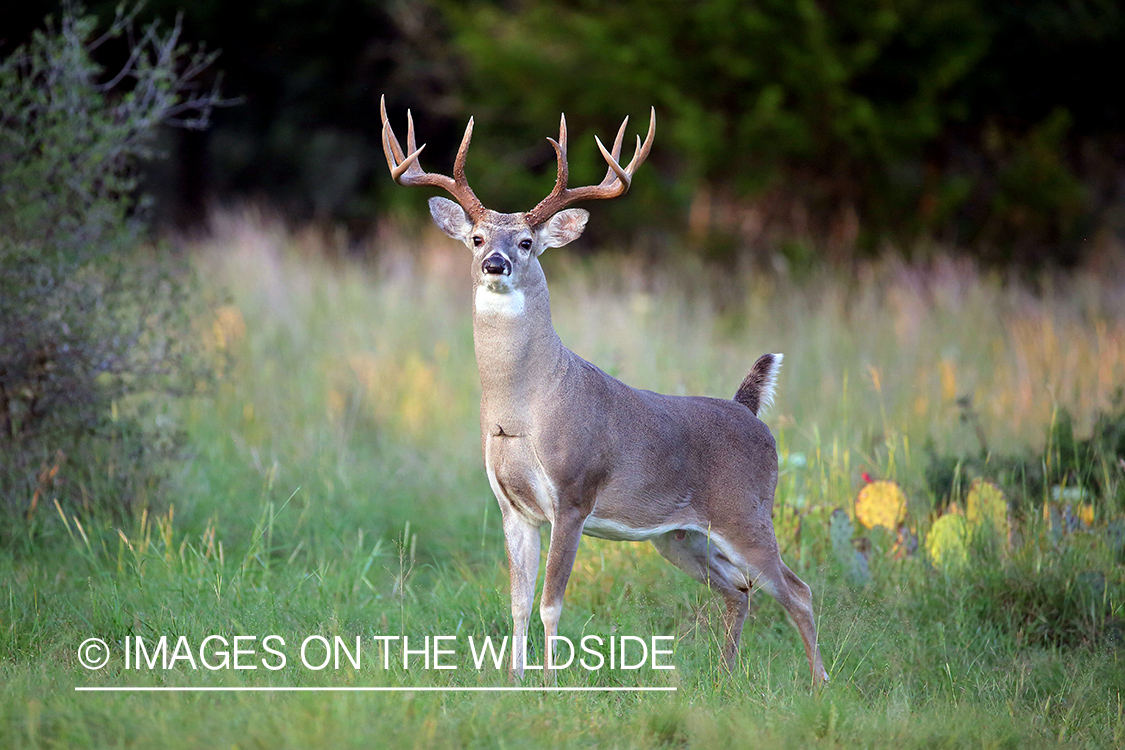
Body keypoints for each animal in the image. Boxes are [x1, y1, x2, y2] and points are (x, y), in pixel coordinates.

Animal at [378, 95, 828, 688]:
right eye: (476, 239)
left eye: (526, 242)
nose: (495, 263)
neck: (520, 410)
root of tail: (749, 413)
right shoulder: (511, 505)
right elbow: (517, 601)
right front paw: (513, 680)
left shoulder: (573, 492)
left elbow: (551, 601)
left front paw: (548, 683)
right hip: (678, 535)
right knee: (739, 588)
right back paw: (726, 676)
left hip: (746, 511)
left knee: (796, 590)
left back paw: (820, 684)